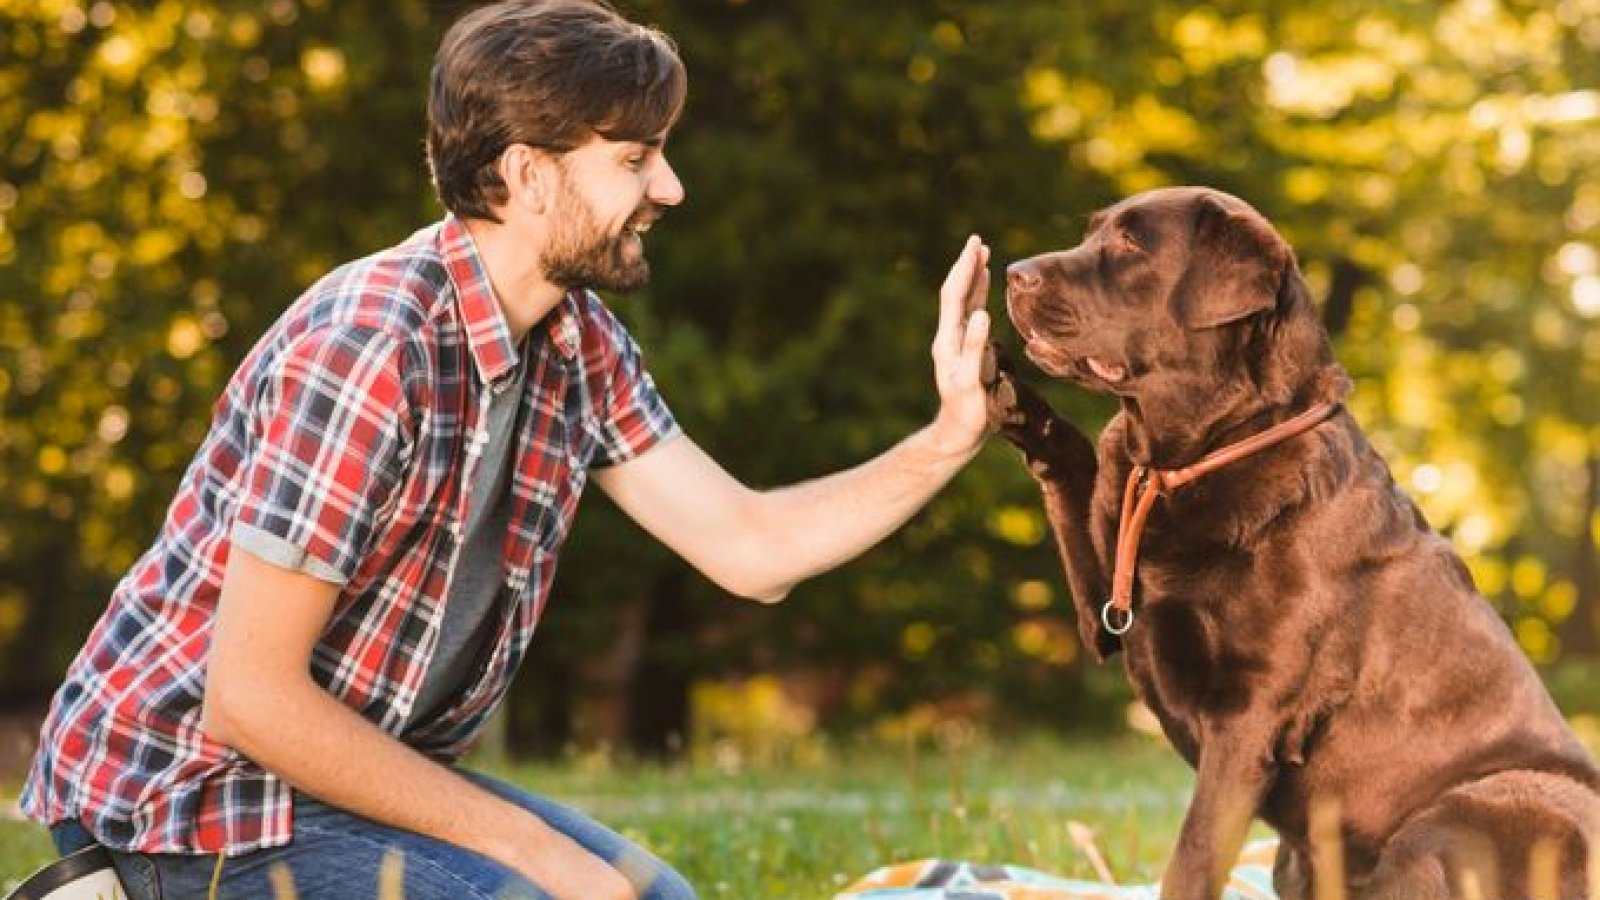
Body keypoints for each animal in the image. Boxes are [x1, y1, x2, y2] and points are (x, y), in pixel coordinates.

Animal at [985, 184, 1600, 896]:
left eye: (1132, 243)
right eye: (1091, 233)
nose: (1014, 272)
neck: (1190, 458)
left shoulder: (1248, 717)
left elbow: (1191, 860)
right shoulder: (1107, 612)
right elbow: (1078, 471)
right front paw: (1017, 403)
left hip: (1465, 810)